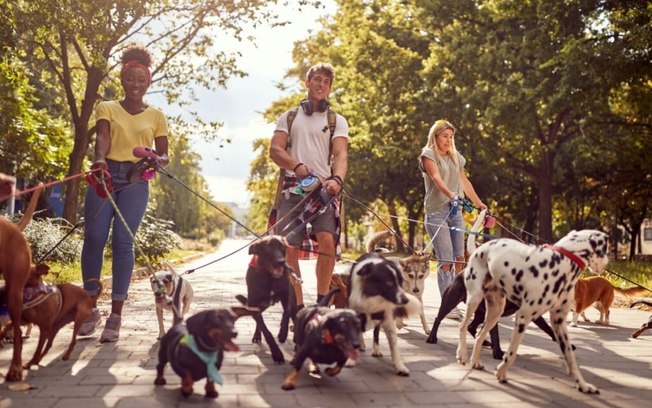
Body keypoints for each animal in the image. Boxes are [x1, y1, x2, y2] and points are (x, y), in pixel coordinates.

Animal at [236, 234, 296, 364]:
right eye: (268, 248)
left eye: (283, 247)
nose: (281, 262)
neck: (270, 277)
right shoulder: (254, 307)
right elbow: (266, 331)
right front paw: (277, 353)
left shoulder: (287, 295)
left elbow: (287, 312)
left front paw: (282, 333)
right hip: (257, 306)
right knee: (259, 322)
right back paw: (257, 336)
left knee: (294, 315)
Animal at [456, 230, 608, 392]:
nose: (607, 262)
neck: (561, 263)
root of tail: (480, 247)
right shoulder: (523, 317)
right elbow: (511, 353)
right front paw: (501, 372)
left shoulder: (559, 323)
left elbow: (570, 358)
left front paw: (583, 385)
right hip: (475, 299)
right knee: (463, 326)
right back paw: (462, 354)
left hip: (495, 311)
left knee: (479, 335)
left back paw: (475, 361)